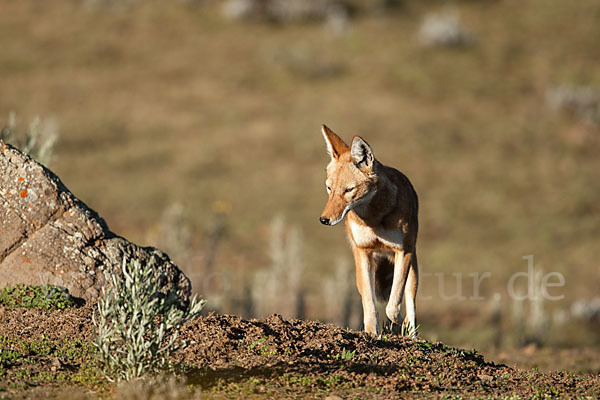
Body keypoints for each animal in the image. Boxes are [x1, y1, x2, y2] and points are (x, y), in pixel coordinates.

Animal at [318, 124, 418, 334]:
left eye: (348, 190)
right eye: (329, 188)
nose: (324, 220)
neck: (374, 219)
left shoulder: (403, 251)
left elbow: (393, 305)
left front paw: (399, 321)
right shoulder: (362, 252)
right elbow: (369, 303)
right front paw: (372, 333)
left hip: (412, 265)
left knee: (410, 301)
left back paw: (410, 333)